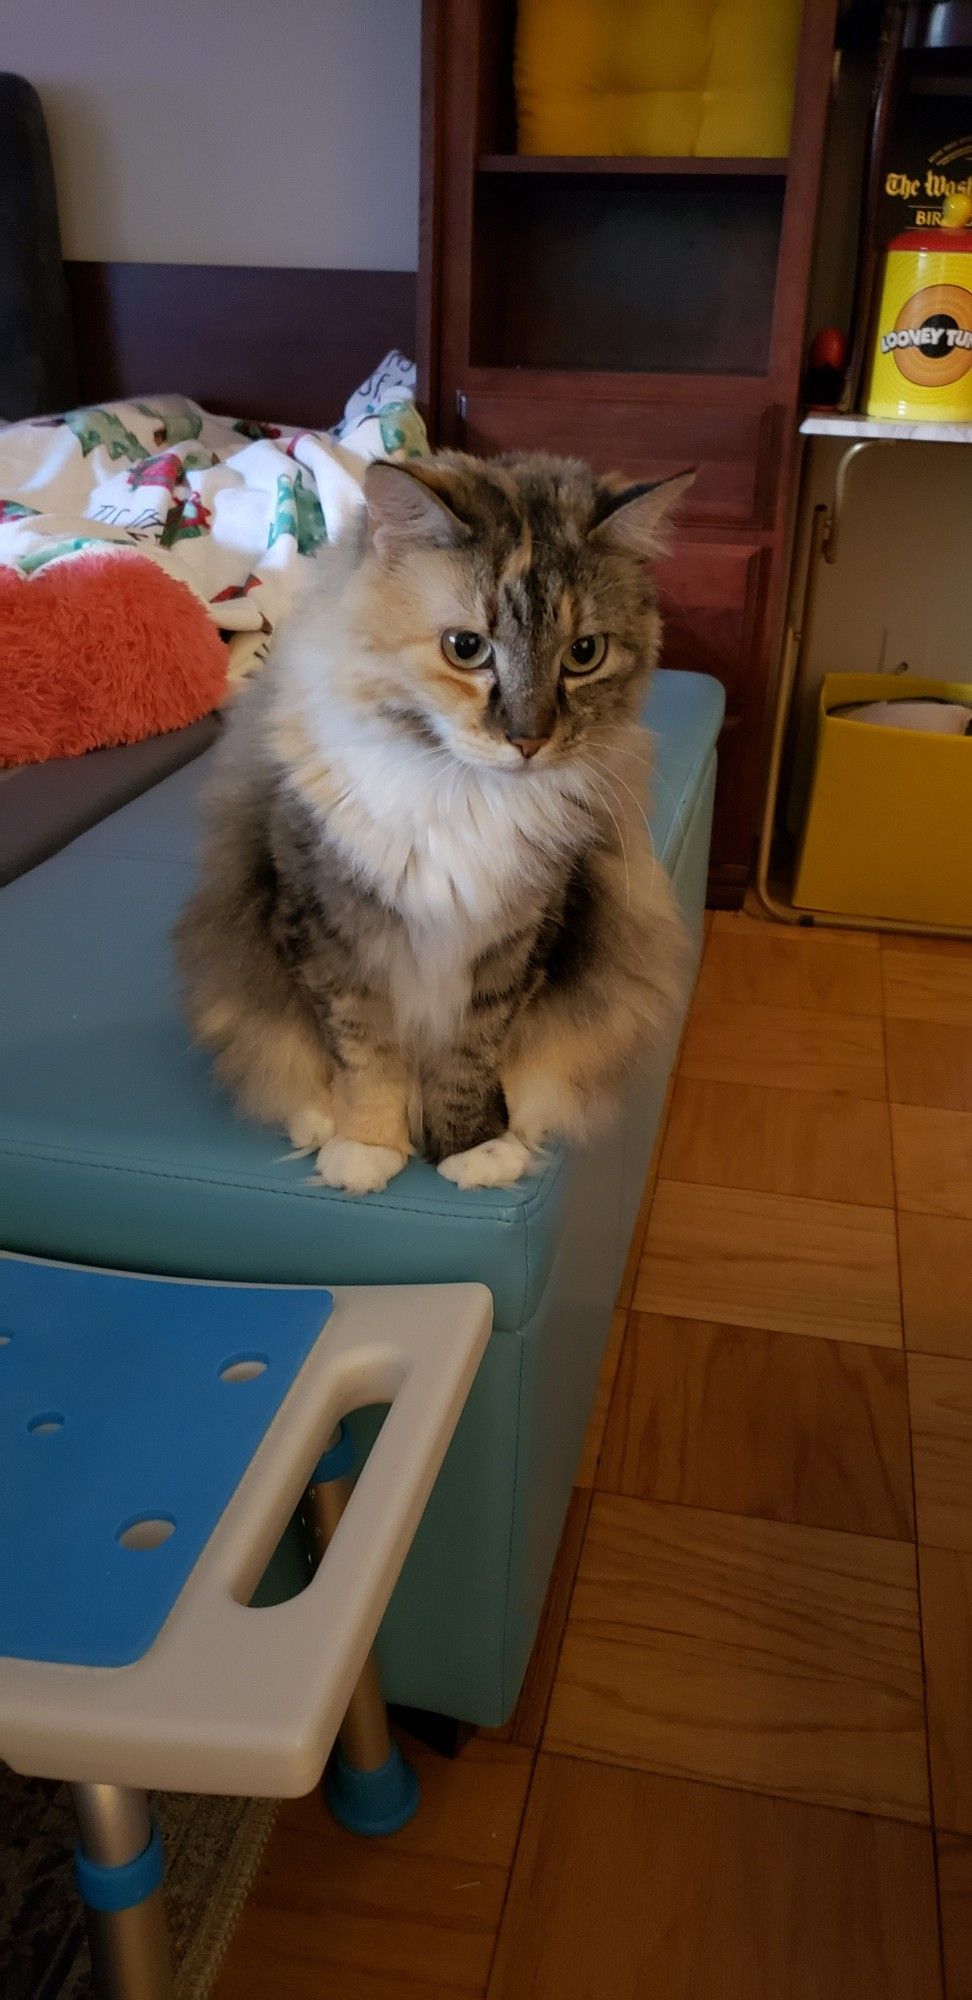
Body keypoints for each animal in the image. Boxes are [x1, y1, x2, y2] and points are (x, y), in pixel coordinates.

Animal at [175, 452, 692, 1192]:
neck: (463, 793)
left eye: (584, 654)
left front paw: (473, 1147)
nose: (529, 740)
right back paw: (317, 1123)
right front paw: (367, 1148)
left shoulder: (516, 945)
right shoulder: (329, 933)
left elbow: (469, 1060)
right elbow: (363, 1055)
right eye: (465, 647)